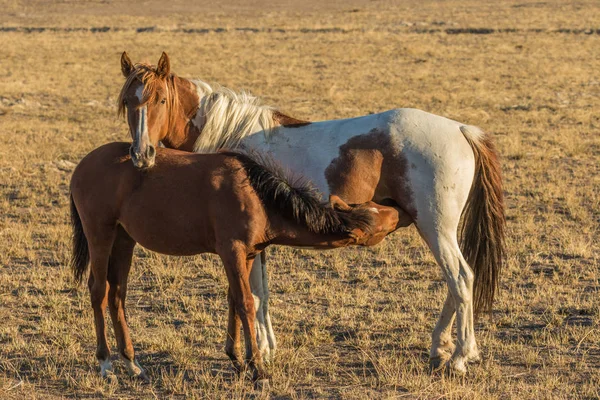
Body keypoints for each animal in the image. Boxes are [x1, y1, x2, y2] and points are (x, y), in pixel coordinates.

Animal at [70, 144, 408, 384]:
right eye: (378, 221)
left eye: (375, 206)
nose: (397, 207)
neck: (258, 197)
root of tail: (82, 166)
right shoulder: (231, 252)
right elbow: (245, 303)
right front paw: (257, 368)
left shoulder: (246, 255)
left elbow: (235, 300)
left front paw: (238, 359)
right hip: (101, 234)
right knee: (98, 291)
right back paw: (105, 363)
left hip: (124, 240)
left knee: (117, 294)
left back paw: (132, 363)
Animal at [118, 51, 506, 374]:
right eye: (126, 102)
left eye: (161, 99)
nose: (142, 155)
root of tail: (461, 129)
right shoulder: (257, 243)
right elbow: (262, 293)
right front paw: (268, 348)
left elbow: (254, 294)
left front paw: (261, 352)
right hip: (435, 229)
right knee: (454, 284)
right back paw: (440, 348)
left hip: (435, 227)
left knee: (461, 279)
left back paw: (460, 357)